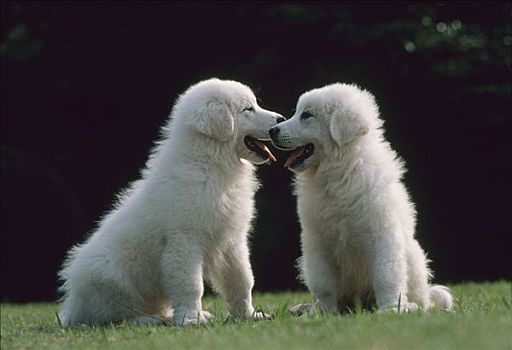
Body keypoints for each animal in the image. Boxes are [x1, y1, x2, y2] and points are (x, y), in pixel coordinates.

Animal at [61, 78, 284, 326]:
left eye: (256, 104)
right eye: (248, 109)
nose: (280, 120)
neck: (211, 164)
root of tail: (72, 309)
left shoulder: (232, 240)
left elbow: (242, 280)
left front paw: (249, 315)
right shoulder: (185, 240)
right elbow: (191, 284)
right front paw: (190, 319)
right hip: (110, 277)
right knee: (115, 317)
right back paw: (152, 320)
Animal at [270, 83, 454, 314]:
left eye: (306, 115)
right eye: (297, 112)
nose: (272, 130)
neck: (338, 174)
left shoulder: (382, 233)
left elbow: (386, 276)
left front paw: (391, 309)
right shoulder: (316, 240)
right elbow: (323, 283)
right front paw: (324, 313)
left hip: (413, 257)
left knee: (422, 299)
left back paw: (411, 306)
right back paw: (307, 308)